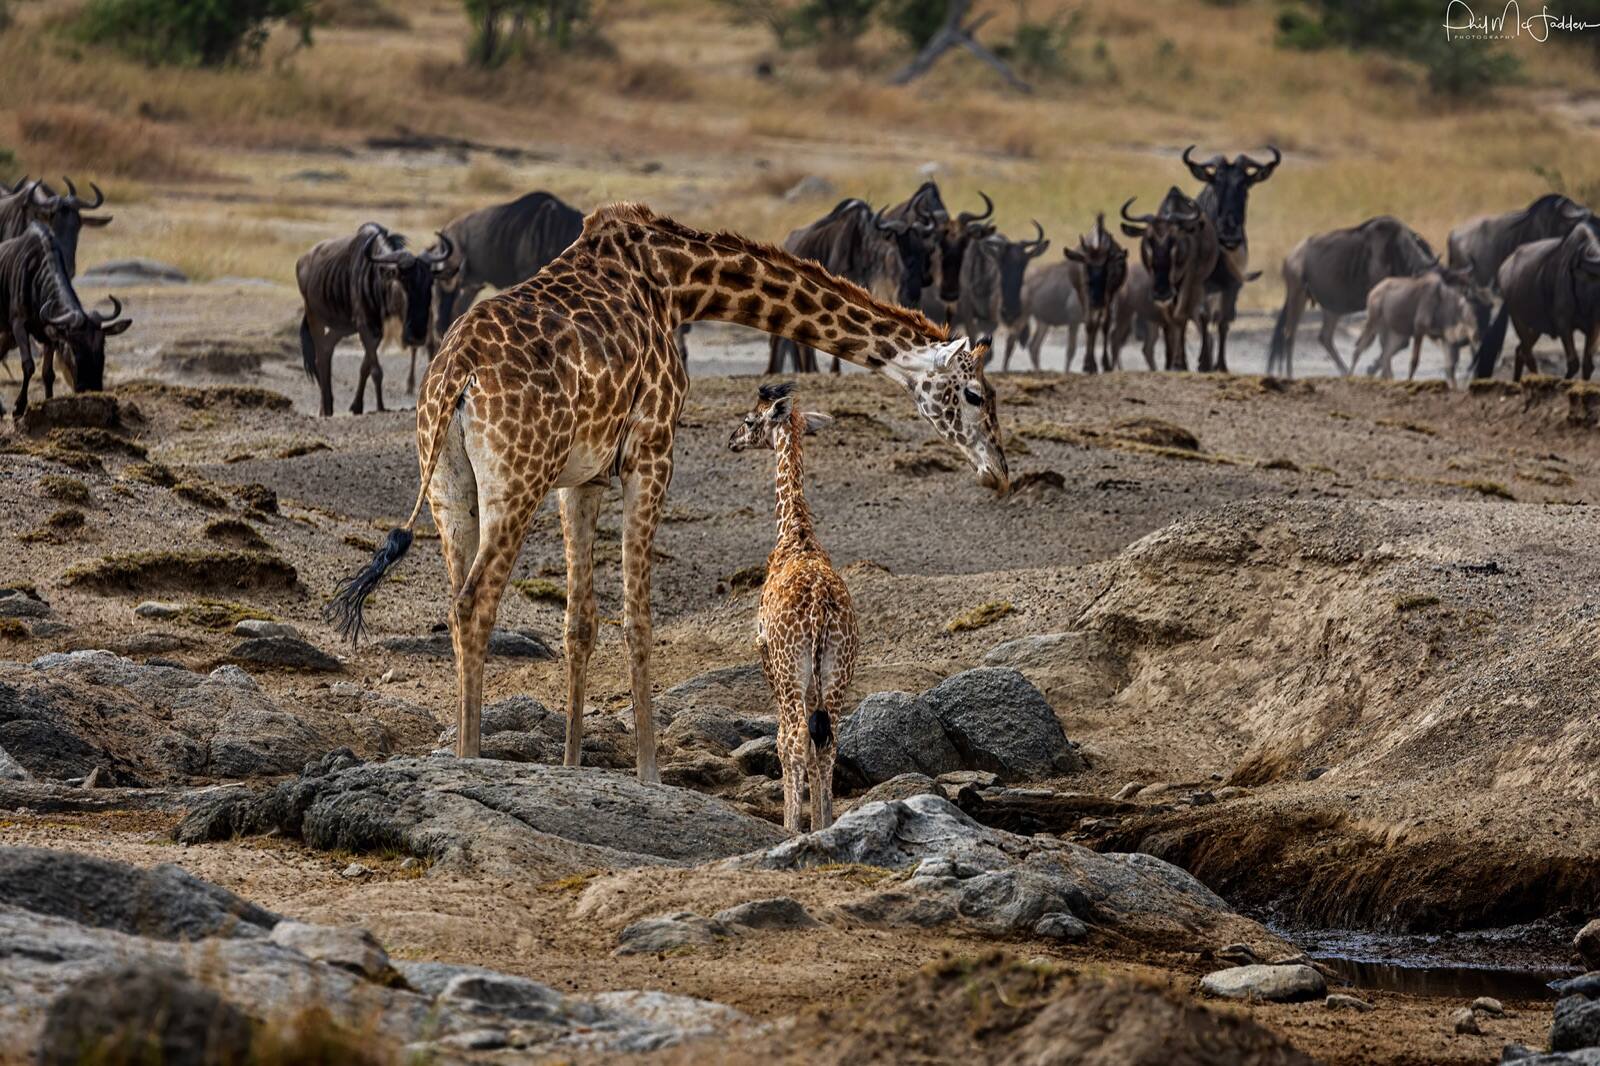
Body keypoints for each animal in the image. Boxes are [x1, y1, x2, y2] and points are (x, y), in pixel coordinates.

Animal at [328, 202, 1008, 785]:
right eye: (976, 395)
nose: (999, 470)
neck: (679, 282)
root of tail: (455, 378)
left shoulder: (581, 478)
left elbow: (580, 621)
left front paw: (572, 767)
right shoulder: (653, 450)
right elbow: (638, 617)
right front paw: (650, 773)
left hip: (451, 486)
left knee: (455, 597)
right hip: (515, 479)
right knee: (475, 603)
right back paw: (470, 762)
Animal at [730, 382, 855, 831]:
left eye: (750, 420)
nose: (731, 440)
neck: (796, 532)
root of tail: (819, 609)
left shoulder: (766, 658)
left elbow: (782, 742)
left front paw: (793, 822)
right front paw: (818, 820)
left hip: (790, 672)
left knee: (796, 738)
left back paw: (794, 828)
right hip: (836, 673)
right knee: (828, 742)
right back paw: (824, 825)